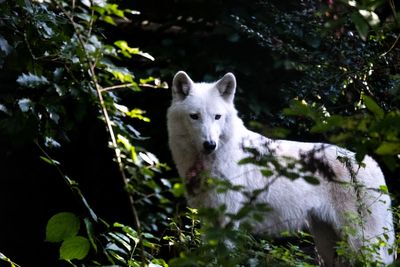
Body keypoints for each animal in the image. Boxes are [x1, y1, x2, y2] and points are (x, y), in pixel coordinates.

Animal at [167, 70, 396, 266]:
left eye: (217, 117)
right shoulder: (209, 220)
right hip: (328, 243)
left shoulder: (228, 221)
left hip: (361, 243)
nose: (210, 145)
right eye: (194, 116)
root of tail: (372, 163)